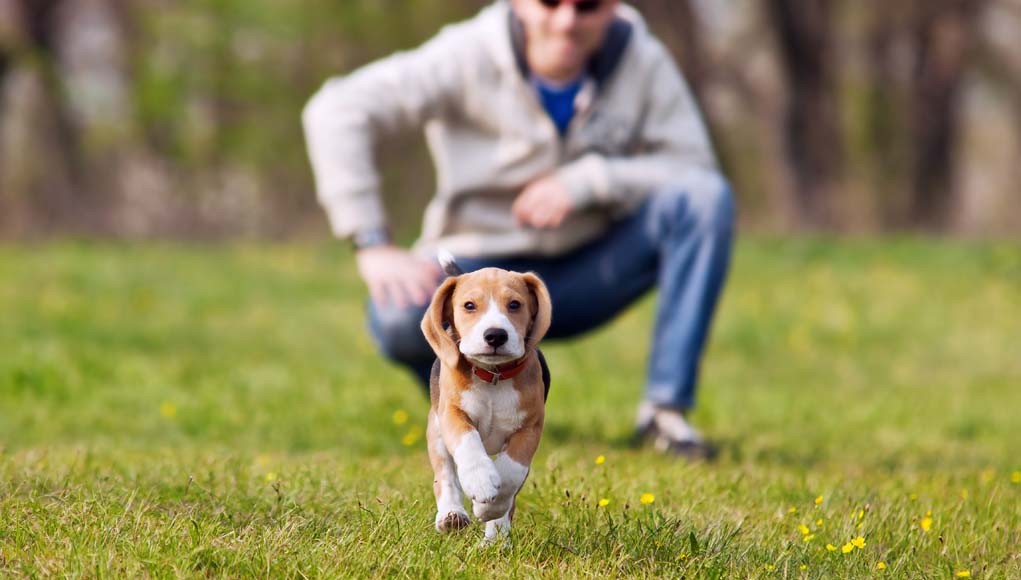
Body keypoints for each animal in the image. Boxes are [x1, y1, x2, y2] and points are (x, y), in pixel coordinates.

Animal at [420, 255, 555, 543]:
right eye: (469, 306)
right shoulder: (452, 414)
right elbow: (468, 443)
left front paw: (489, 508)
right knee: (445, 476)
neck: (493, 375)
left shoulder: (529, 428)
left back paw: (496, 538)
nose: (495, 335)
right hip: (436, 431)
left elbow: (511, 472)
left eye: (515, 304)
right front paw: (480, 480)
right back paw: (451, 515)